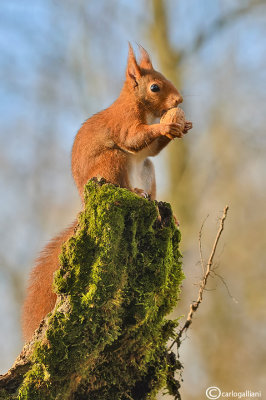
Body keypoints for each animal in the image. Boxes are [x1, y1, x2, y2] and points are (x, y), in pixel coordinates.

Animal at [21, 45, 191, 342]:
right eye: (155, 87)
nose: (179, 100)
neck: (141, 107)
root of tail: (84, 200)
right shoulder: (124, 122)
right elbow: (134, 138)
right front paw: (163, 126)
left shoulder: (147, 149)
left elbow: (151, 149)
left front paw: (182, 126)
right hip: (113, 162)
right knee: (121, 181)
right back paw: (135, 191)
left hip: (146, 169)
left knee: (148, 172)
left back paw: (156, 202)